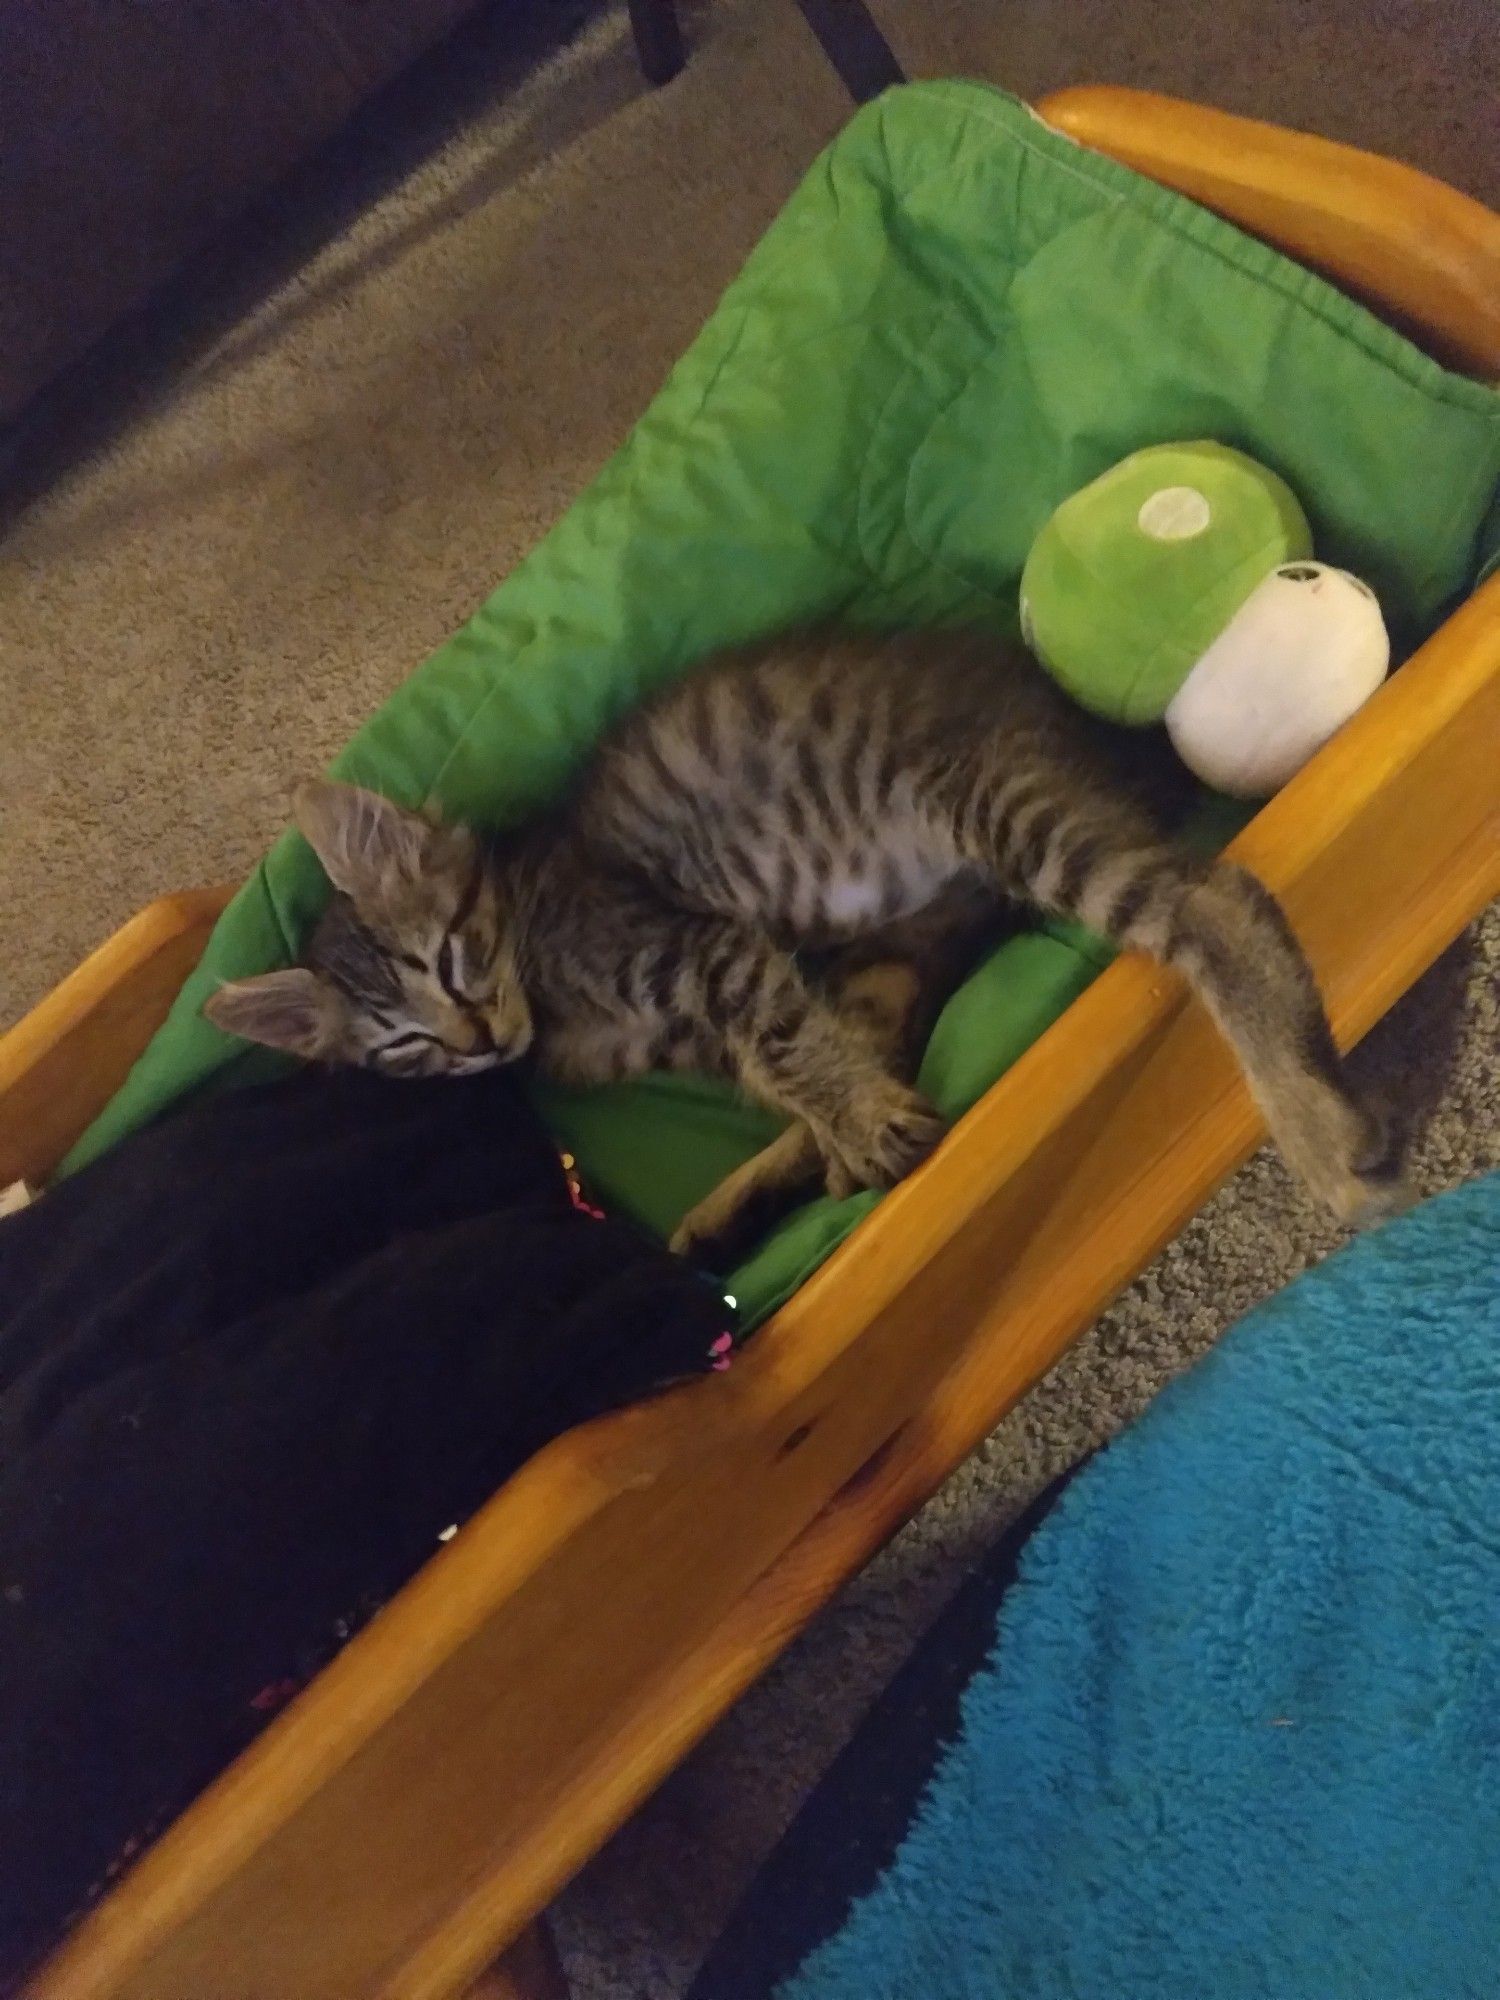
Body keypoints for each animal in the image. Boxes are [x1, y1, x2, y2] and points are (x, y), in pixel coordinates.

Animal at [203, 632, 1408, 1240]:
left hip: (997, 807)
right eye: (404, 1046)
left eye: (451, 958)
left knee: (1217, 900)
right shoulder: (740, 1000)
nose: (479, 1041)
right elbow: (806, 1065)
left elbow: (789, 1047)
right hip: (910, 929)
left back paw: (1322, 1140)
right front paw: (830, 1143)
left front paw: (852, 1128)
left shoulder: (701, 954)